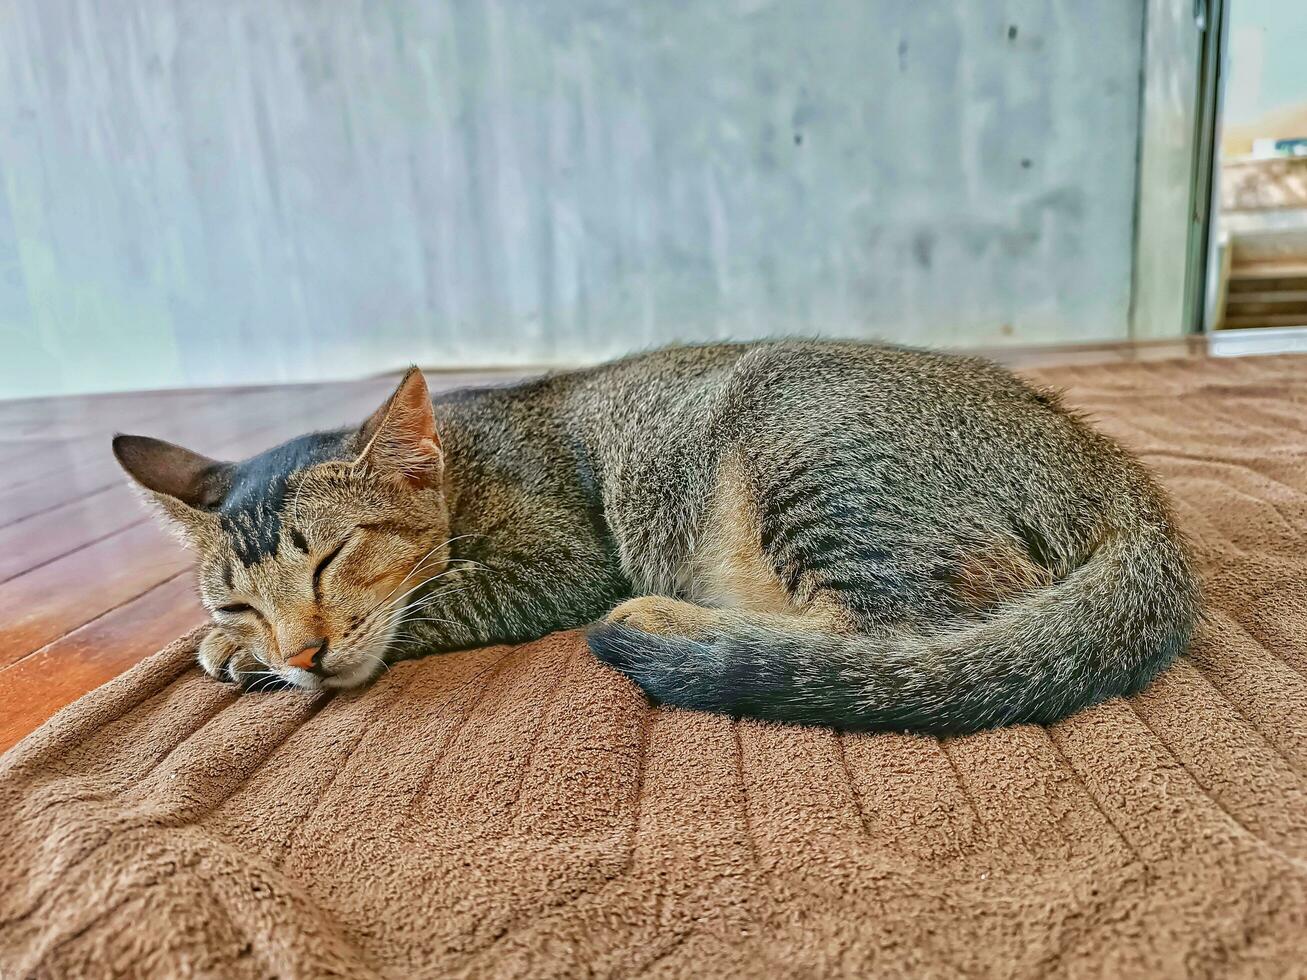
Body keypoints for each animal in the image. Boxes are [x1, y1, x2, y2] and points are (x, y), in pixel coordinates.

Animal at [115, 342, 1202, 731]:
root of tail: (1113, 463)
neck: (467, 460)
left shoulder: (560, 561)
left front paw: (252, 662)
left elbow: (440, 598)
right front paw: (237, 647)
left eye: (335, 558)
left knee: (888, 637)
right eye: (237, 596)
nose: (297, 649)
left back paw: (667, 621)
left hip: (810, 448)